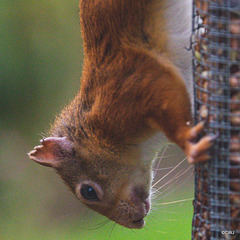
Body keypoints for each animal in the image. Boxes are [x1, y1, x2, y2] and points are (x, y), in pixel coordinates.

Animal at [28, 0, 214, 229]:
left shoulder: (133, 86)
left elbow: (165, 91)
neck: (96, 130)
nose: (133, 223)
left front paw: (189, 144)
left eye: (88, 192)